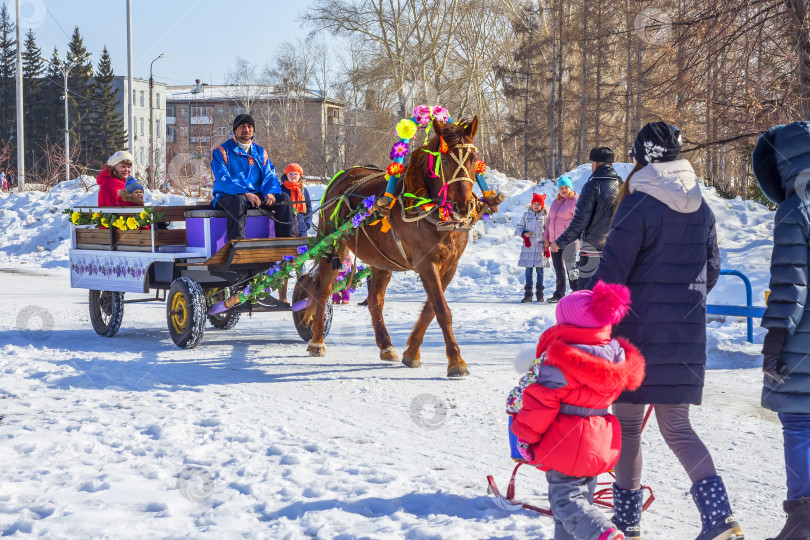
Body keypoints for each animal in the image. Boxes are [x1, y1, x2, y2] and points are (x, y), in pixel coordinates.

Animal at [302, 116, 480, 378]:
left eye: (473, 158)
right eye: (445, 159)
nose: (463, 206)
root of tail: (342, 177)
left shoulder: (449, 266)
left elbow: (430, 309)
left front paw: (412, 352)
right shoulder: (426, 263)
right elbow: (441, 309)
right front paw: (456, 361)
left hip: (382, 259)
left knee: (375, 300)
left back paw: (386, 346)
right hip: (333, 244)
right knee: (323, 290)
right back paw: (316, 342)